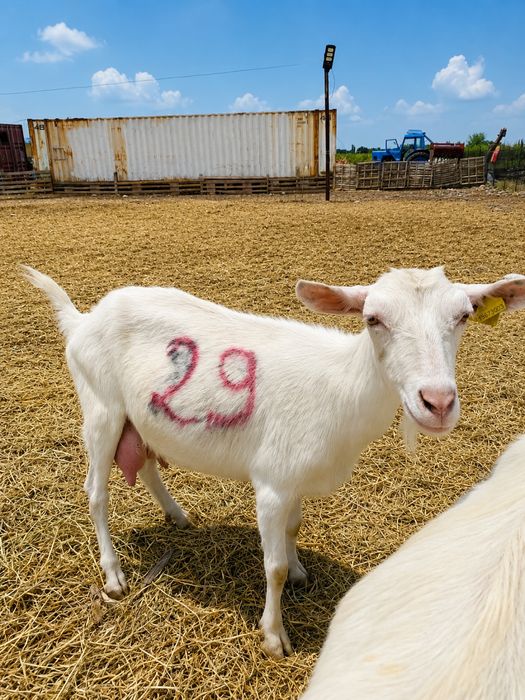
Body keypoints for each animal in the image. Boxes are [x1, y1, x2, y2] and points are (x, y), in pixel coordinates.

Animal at [23, 265, 525, 658]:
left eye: (464, 316)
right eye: (372, 318)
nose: (437, 402)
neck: (341, 389)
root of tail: (82, 320)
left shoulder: (295, 477)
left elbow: (294, 529)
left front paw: (301, 569)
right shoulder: (272, 483)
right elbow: (273, 567)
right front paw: (274, 636)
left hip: (140, 418)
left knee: (144, 463)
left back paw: (177, 516)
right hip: (100, 408)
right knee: (96, 493)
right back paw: (113, 575)